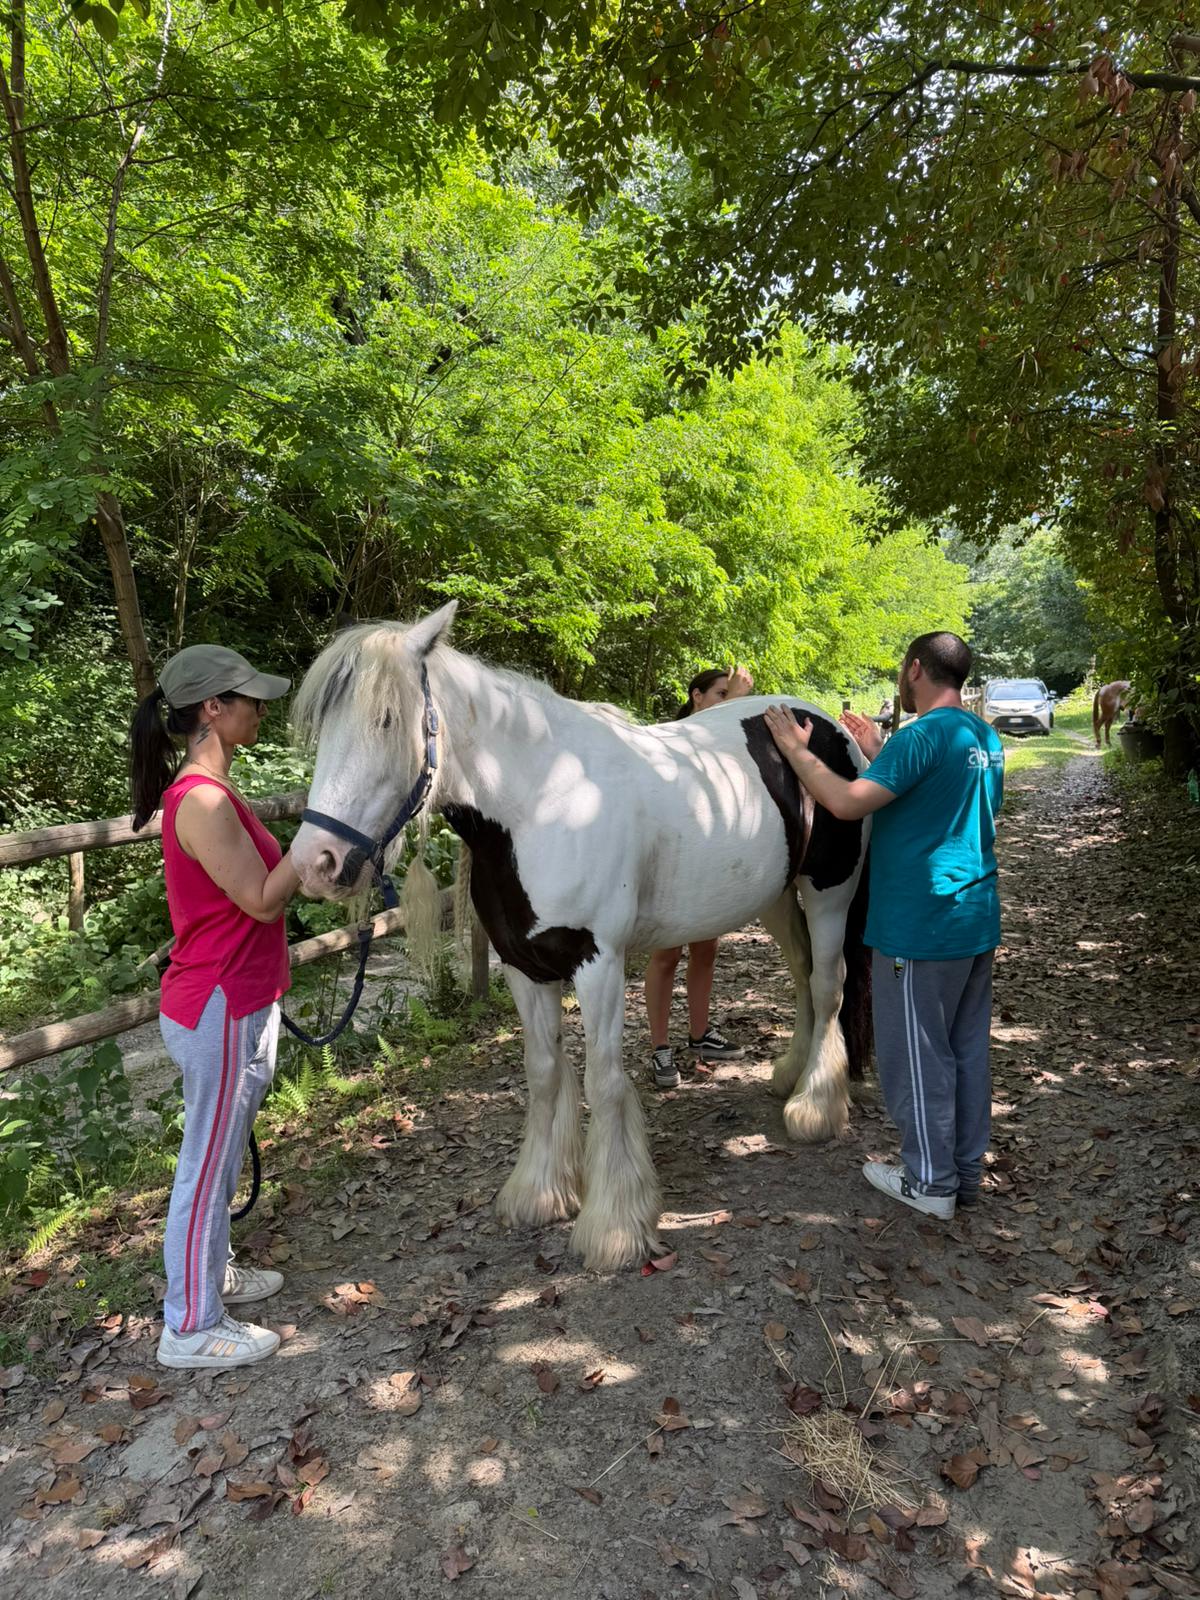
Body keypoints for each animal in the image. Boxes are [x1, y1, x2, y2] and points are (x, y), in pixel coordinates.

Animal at [288, 603, 872, 1272]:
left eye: (386, 719)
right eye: (323, 725)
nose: (315, 863)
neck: (544, 803)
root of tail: (824, 724)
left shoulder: (599, 964)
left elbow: (603, 1081)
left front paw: (613, 1228)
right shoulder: (523, 966)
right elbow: (544, 1073)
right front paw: (538, 1193)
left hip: (829, 892)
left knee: (828, 985)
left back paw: (814, 1107)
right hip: (777, 896)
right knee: (803, 975)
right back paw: (789, 1075)